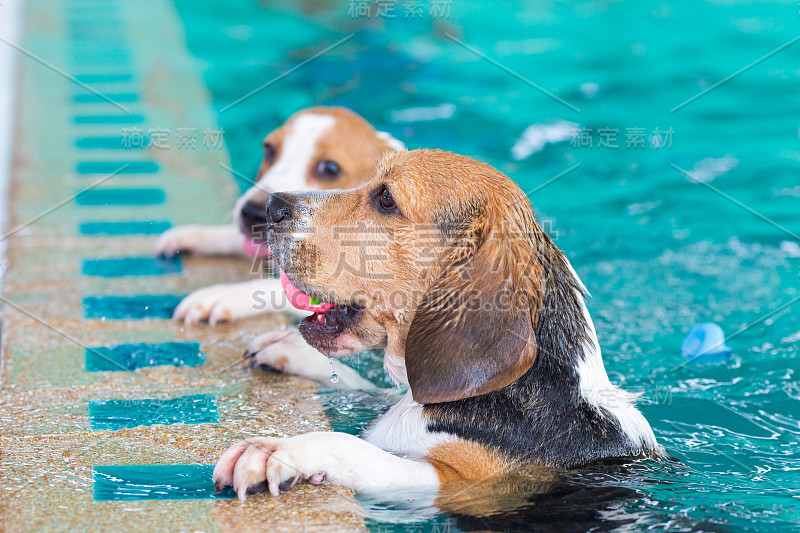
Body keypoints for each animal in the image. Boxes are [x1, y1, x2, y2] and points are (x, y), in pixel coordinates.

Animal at [153, 106, 404, 324]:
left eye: (330, 169)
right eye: (269, 149)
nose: (256, 213)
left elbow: (279, 289)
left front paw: (224, 295)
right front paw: (196, 235)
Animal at [212, 149, 664, 498]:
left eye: (386, 199)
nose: (271, 207)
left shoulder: (459, 482)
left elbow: (353, 448)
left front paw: (279, 452)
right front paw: (288, 350)